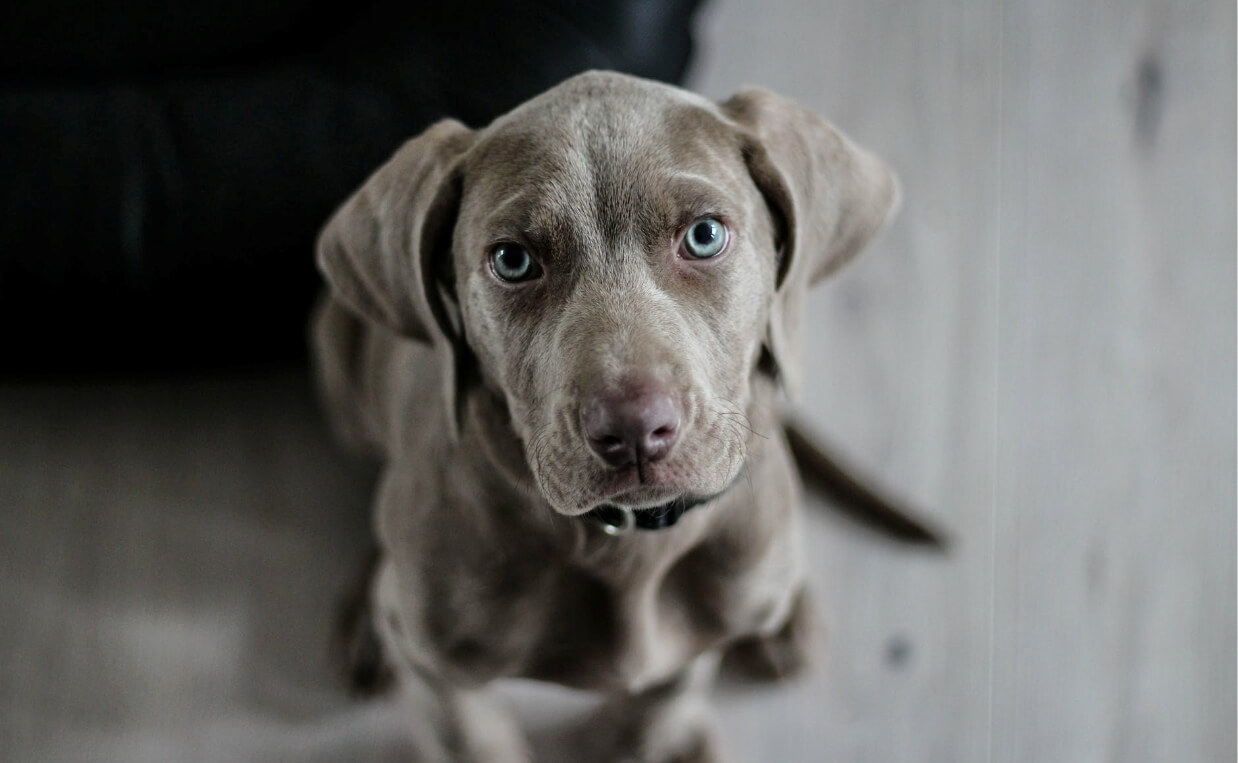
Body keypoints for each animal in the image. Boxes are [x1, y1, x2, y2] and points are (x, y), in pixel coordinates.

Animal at [311, 68, 901, 758]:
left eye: (704, 235)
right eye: (512, 260)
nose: (634, 431)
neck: (627, 544)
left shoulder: (695, 638)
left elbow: (666, 695)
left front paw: (654, 740)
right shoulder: (436, 671)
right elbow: (473, 736)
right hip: (336, 355)